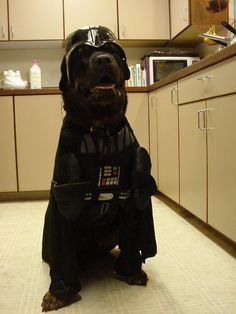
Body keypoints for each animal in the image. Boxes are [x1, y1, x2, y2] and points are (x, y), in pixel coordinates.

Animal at [41, 25, 158, 312]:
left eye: (113, 51)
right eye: (82, 53)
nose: (104, 60)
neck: (102, 129)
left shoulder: (130, 199)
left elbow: (131, 238)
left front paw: (130, 271)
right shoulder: (66, 196)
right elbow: (63, 253)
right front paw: (59, 292)